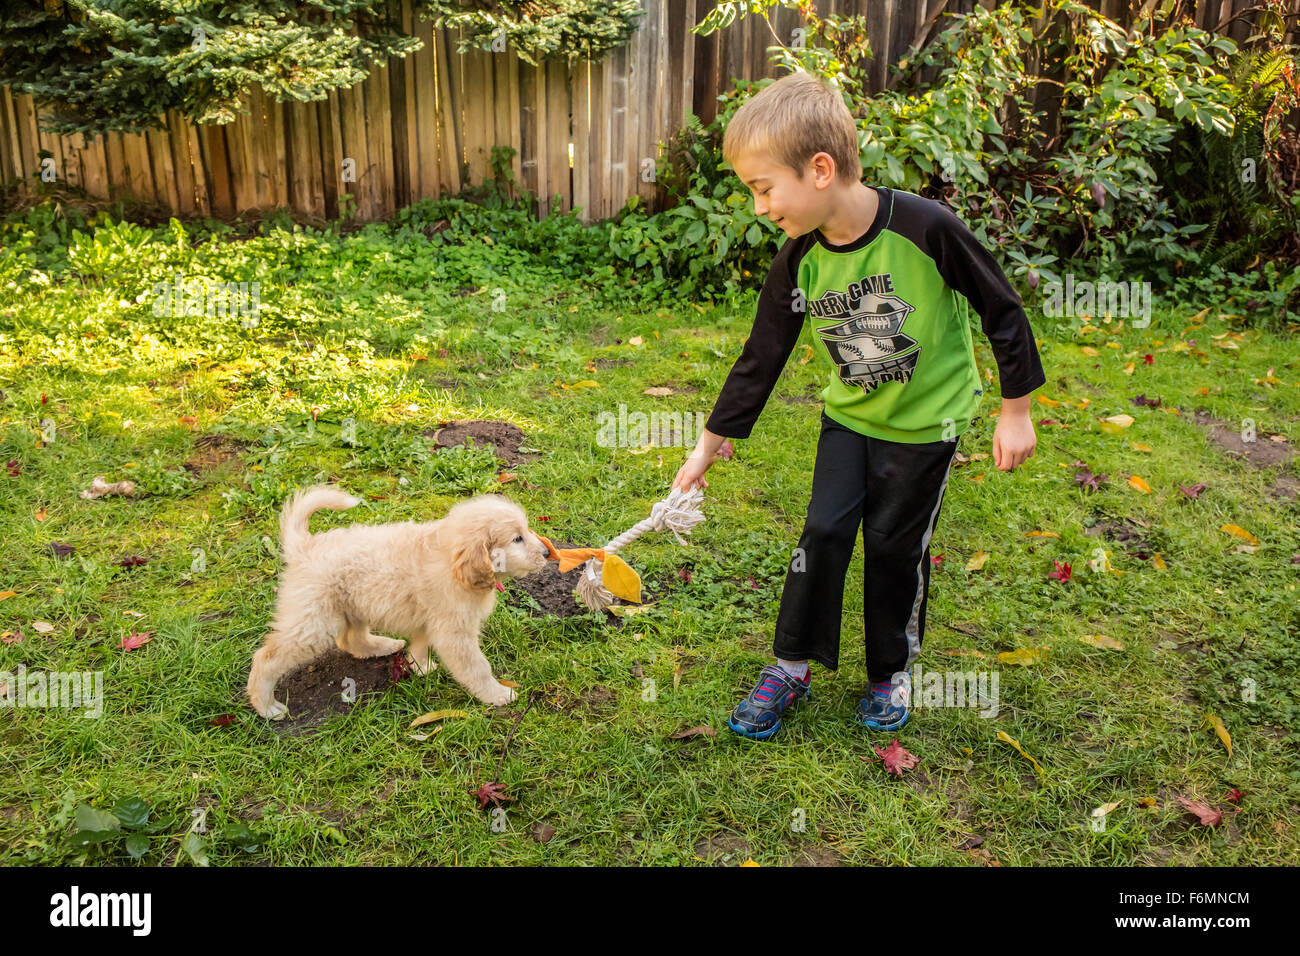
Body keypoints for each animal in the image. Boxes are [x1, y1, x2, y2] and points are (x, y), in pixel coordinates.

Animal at [246, 486, 548, 717]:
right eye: (517, 538)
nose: (547, 553)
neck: (453, 562)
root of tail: (305, 547)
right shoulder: (455, 633)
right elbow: (477, 668)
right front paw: (498, 694)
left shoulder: (431, 621)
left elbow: (421, 645)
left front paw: (420, 668)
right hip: (314, 622)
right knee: (267, 657)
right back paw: (266, 706)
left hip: (353, 607)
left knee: (352, 640)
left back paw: (383, 645)